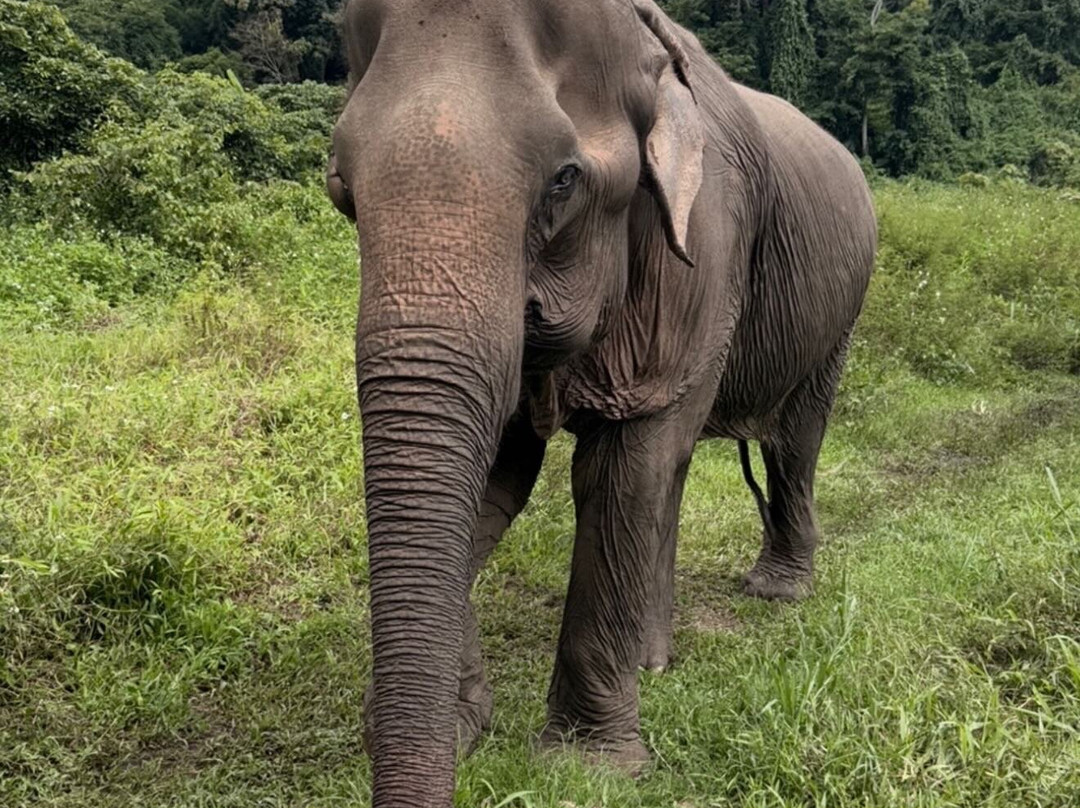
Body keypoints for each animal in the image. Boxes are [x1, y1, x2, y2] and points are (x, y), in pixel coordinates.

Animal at [325, 0, 877, 804]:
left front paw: (585, 767)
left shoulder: (702, 249)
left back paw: (777, 592)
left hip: (839, 307)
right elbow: (498, 478)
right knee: (676, 469)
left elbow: (618, 467)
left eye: (564, 181)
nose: (378, 742)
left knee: (789, 440)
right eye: (342, 191)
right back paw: (654, 659)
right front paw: (463, 723)